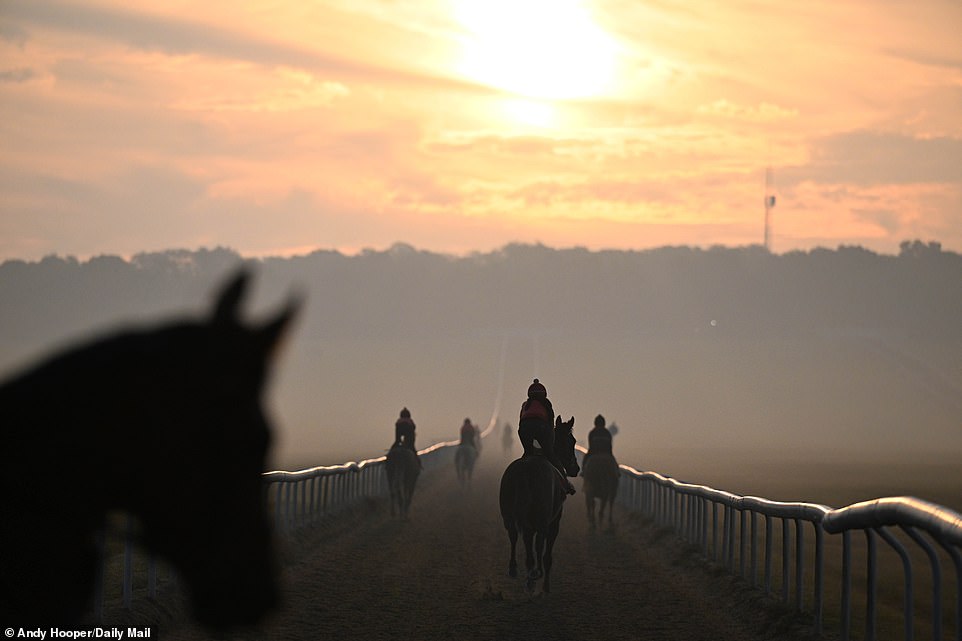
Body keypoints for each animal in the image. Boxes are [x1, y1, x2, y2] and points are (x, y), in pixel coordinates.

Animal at [496, 416, 576, 592]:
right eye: (572, 441)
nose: (576, 468)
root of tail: (525, 472)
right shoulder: (554, 521)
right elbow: (546, 553)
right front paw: (545, 587)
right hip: (541, 518)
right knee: (537, 542)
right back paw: (535, 573)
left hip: (508, 514)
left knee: (514, 535)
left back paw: (516, 569)